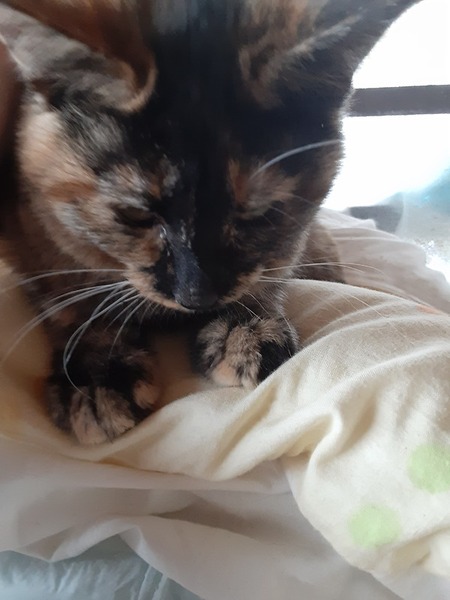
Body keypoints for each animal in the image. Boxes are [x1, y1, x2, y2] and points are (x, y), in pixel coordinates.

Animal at [0, 0, 419, 444]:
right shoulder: (32, 236)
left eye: (258, 214)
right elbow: (68, 296)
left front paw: (245, 324)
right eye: (135, 214)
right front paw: (97, 373)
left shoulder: (288, 238)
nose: (196, 295)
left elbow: (274, 263)